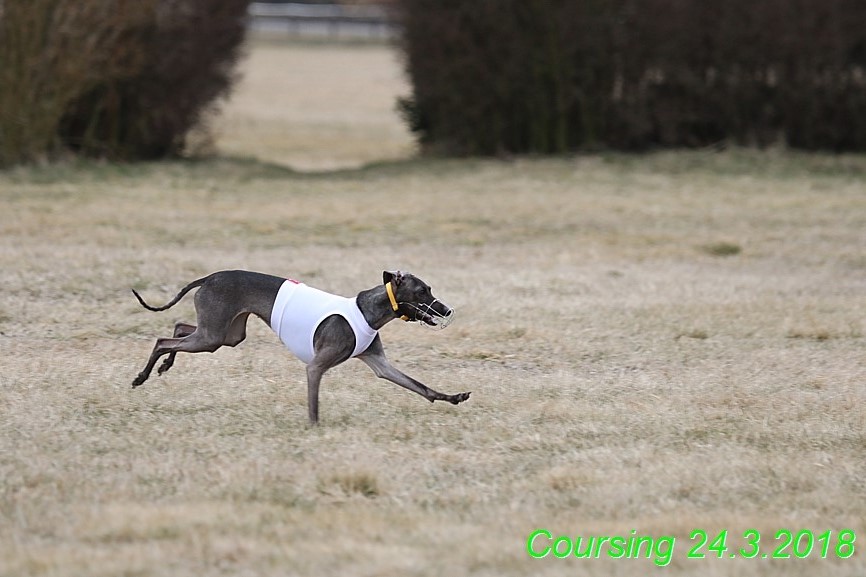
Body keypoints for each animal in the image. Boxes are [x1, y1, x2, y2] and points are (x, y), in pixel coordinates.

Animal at [131, 270, 470, 424]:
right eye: (422, 291)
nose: (447, 310)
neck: (367, 310)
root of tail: (209, 276)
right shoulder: (316, 366)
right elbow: (313, 403)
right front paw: (314, 429)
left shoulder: (380, 365)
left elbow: (420, 386)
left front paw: (453, 397)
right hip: (213, 335)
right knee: (163, 340)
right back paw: (142, 376)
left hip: (224, 335)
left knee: (178, 328)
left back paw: (165, 365)